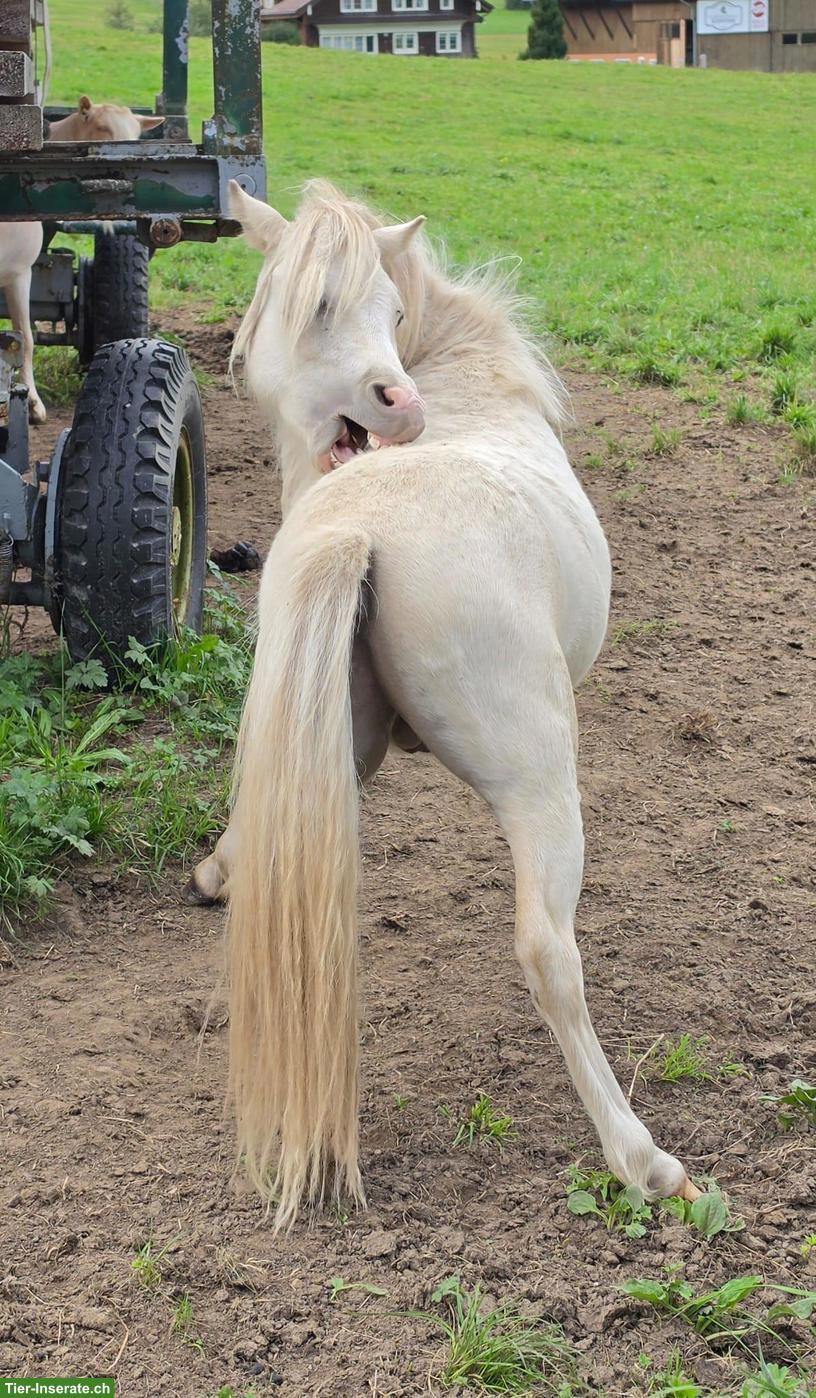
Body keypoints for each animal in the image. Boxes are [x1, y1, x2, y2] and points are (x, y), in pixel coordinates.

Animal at [0, 97, 163, 422]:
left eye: (136, 135)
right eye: (101, 128)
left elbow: (22, 338)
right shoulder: (18, 271)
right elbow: (25, 338)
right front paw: (33, 402)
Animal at [188, 178, 701, 1229]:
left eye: (389, 311)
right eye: (313, 307)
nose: (399, 404)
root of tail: (361, 528)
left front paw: (215, 870)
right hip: (544, 791)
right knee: (549, 952)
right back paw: (643, 1159)